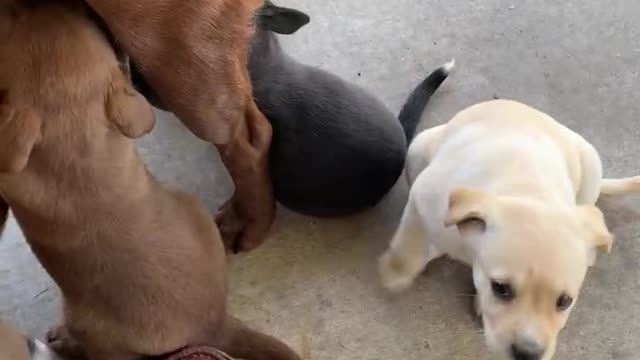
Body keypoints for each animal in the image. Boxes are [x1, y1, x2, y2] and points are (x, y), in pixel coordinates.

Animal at [380, 99, 640, 360]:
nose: (528, 354)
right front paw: (394, 273)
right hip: (419, 147)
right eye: (500, 289)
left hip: (591, 165)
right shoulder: (423, 196)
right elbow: (409, 244)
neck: (528, 191)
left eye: (565, 301)